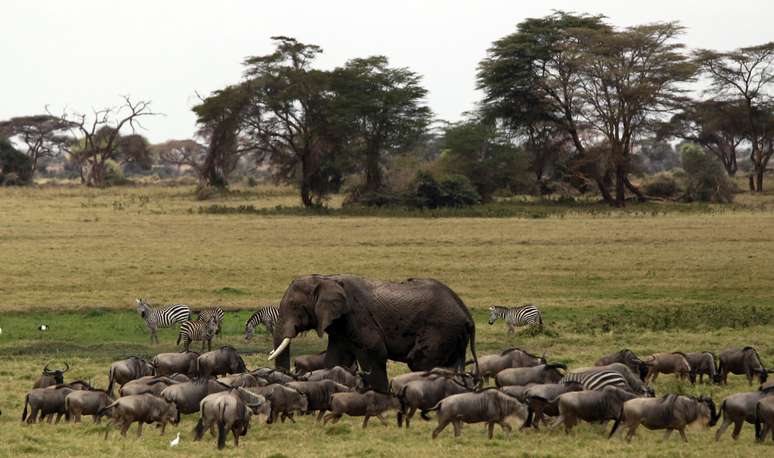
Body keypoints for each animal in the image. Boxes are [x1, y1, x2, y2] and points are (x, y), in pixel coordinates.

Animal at [272, 274, 478, 392]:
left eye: (294, 306)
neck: (324, 279)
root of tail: (468, 315)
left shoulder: (357, 316)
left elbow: (374, 351)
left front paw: (381, 394)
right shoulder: (340, 325)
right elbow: (336, 359)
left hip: (441, 330)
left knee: (421, 361)